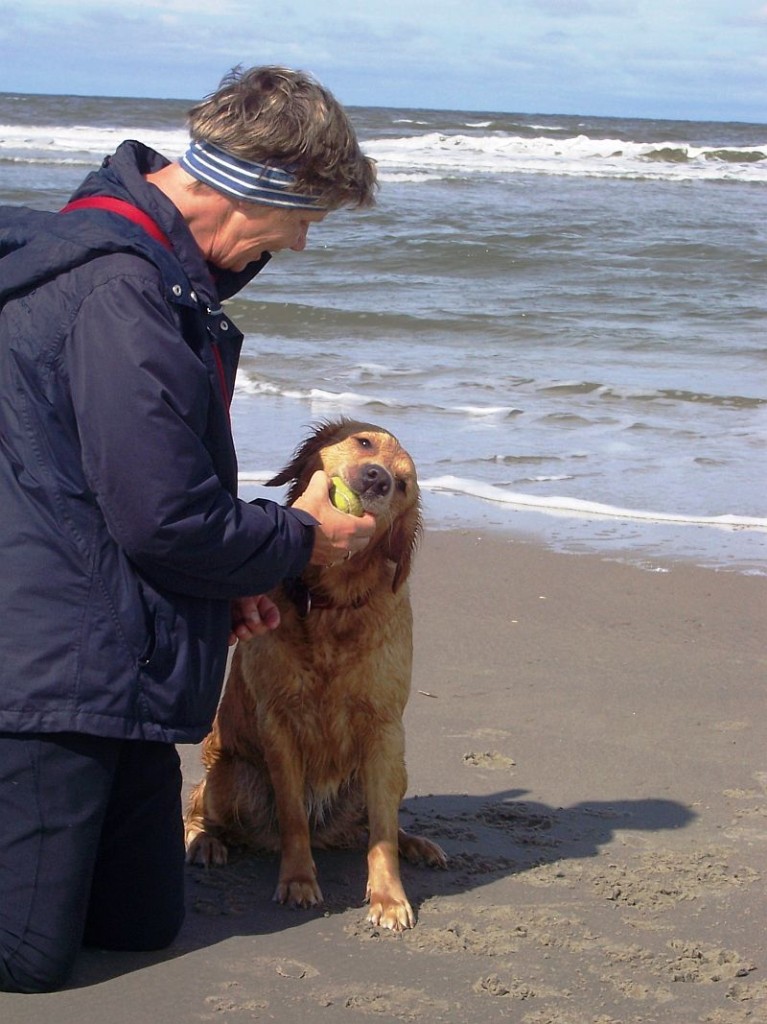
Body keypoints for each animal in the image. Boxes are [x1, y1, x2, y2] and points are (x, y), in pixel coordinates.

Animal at [184, 419, 446, 933]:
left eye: (404, 485)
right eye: (364, 442)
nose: (378, 479)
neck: (330, 603)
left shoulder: (384, 727)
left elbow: (382, 831)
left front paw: (388, 896)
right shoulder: (279, 722)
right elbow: (292, 816)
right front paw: (299, 880)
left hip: (393, 768)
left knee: (376, 822)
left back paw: (417, 844)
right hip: (231, 776)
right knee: (196, 809)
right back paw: (205, 842)